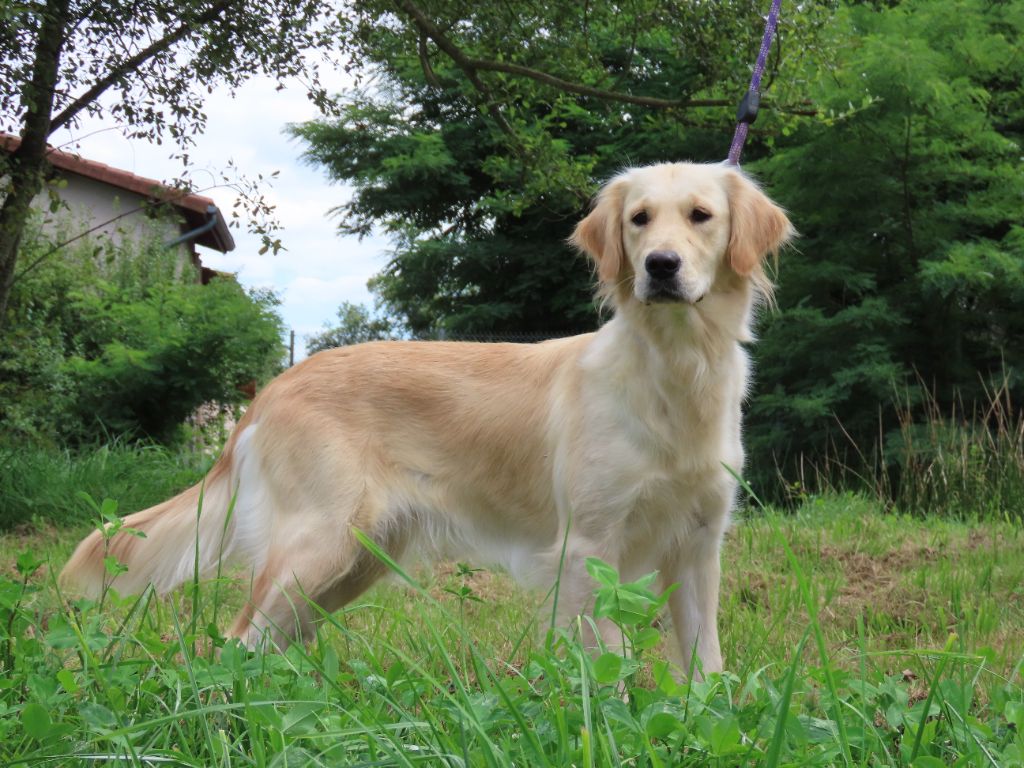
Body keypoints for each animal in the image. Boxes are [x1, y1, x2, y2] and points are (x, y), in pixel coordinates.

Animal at [62, 162, 793, 673]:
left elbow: (706, 665)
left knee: (271, 640)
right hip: (318, 543)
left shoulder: (698, 547)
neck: (672, 371)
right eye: (639, 219)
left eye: (701, 215)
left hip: (353, 561)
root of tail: (277, 384)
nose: (660, 266)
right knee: (239, 639)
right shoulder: (588, 550)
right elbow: (608, 664)